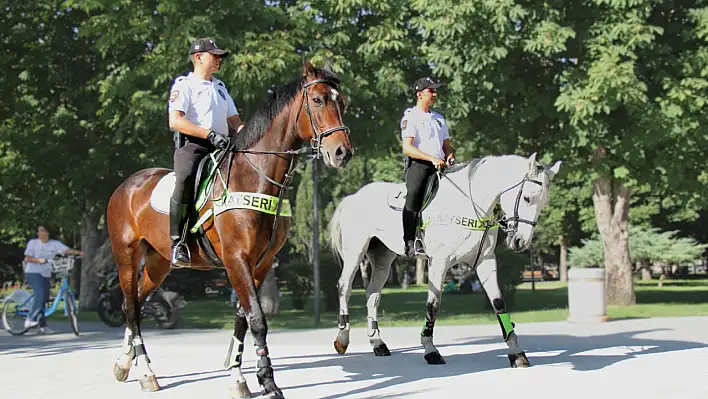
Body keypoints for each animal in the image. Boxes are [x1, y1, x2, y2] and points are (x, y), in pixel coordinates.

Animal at [106, 61, 354, 398]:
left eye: (343, 103)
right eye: (317, 100)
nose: (342, 152)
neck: (254, 176)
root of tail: (126, 186)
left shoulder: (260, 263)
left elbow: (243, 319)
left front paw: (238, 376)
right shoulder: (236, 260)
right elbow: (257, 320)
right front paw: (268, 382)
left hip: (158, 264)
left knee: (135, 303)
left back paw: (124, 361)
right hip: (126, 257)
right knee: (131, 305)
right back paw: (145, 371)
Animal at [330, 153, 560, 368]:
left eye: (544, 203)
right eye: (527, 198)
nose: (521, 241)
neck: (469, 204)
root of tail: (353, 197)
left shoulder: (485, 260)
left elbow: (498, 302)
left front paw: (516, 352)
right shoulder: (439, 262)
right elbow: (433, 304)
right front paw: (430, 350)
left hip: (382, 258)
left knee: (373, 295)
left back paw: (378, 344)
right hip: (355, 253)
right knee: (344, 287)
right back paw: (342, 339)